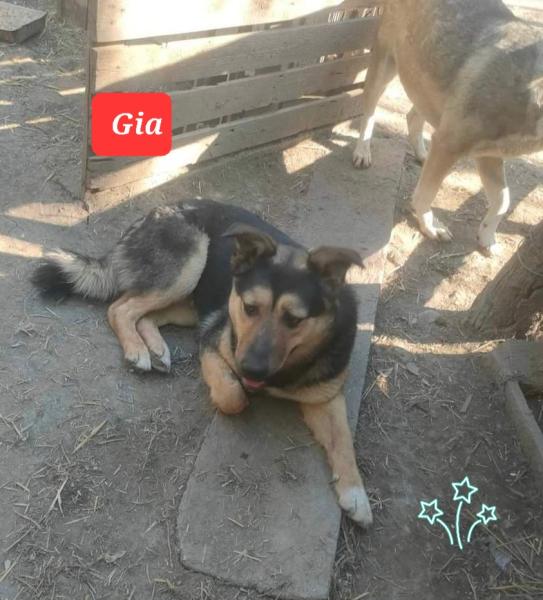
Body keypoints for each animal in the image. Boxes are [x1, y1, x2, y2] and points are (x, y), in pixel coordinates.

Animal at [32, 199, 373, 527]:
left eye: (294, 320)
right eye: (249, 308)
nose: (250, 369)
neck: (286, 369)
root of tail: (153, 213)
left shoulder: (326, 397)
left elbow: (344, 441)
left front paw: (357, 495)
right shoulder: (211, 343)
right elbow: (232, 395)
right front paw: (239, 392)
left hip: (189, 302)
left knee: (146, 315)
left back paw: (157, 349)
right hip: (190, 263)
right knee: (120, 308)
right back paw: (137, 351)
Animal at [353, 0, 543, 254]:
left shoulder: (488, 156)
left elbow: (503, 201)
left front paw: (487, 239)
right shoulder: (450, 145)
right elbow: (424, 195)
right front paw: (431, 227)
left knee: (413, 117)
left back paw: (422, 154)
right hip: (384, 68)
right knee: (370, 112)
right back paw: (362, 152)